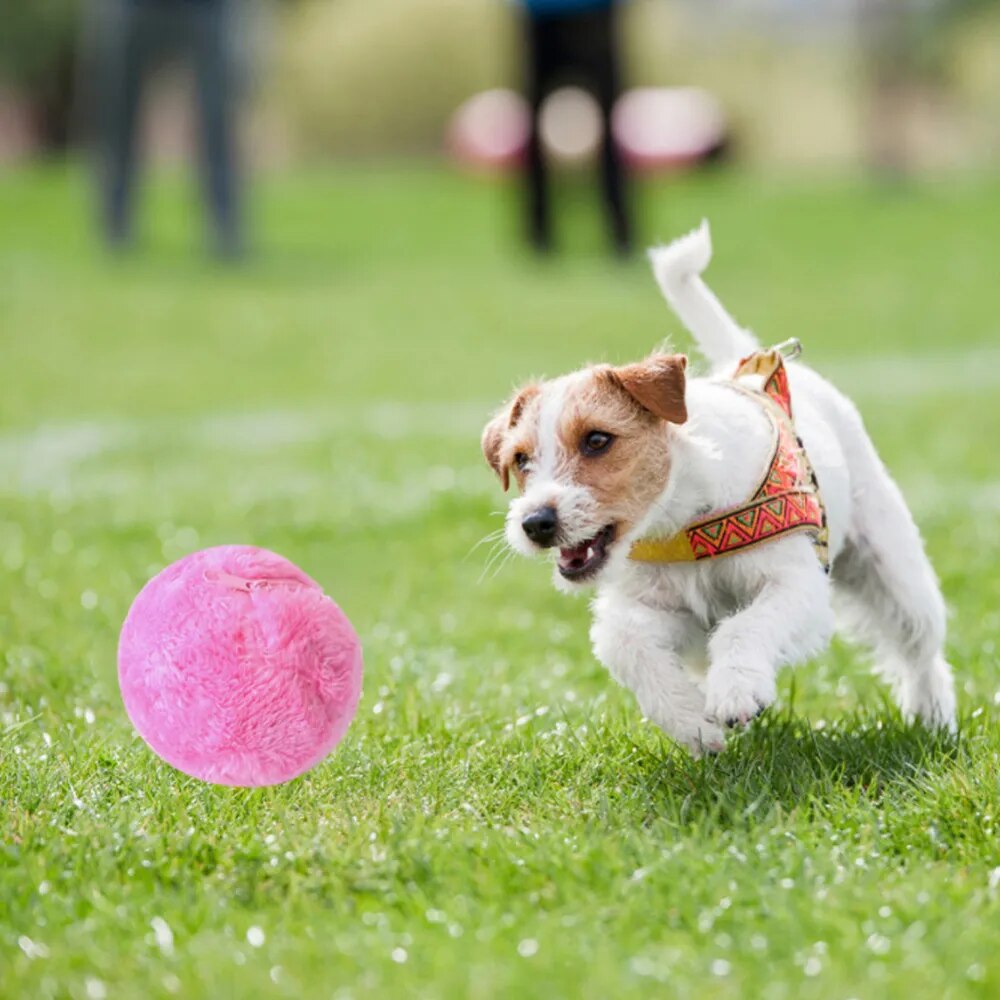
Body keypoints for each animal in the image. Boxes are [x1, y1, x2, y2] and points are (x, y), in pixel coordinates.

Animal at [480, 219, 956, 752]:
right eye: (520, 459)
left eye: (597, 439)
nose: (535, 523)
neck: (683, 520)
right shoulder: (661, 610)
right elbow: (625, 643)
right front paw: (692, 721)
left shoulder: (797, 586)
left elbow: (743, 628)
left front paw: (736, 692)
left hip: (894, 570)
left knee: (921, 648)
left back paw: (933, 717)